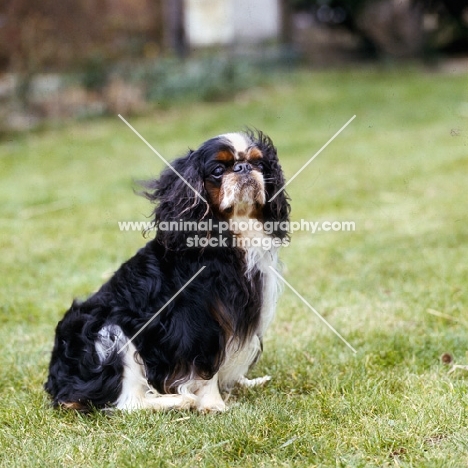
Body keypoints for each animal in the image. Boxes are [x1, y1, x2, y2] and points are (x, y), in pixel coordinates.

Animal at [45, 130, 290, 412]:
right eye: (218, 170)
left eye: (259, 164)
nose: (243, 167)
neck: (234, 232)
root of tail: (57, 383)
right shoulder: (201, 321)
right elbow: (209, 366)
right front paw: (213, 404)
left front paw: (244, 382)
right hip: (110, 333)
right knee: (128, 403)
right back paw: (180, 400)